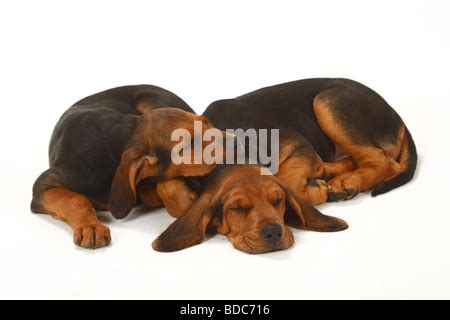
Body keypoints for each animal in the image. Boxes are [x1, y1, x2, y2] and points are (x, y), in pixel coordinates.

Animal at [30, 85, 232, 250]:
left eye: (206, 122)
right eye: (187, 145)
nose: (236, 141)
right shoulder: (42, 185)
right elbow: (75, 199)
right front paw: (91, 227)